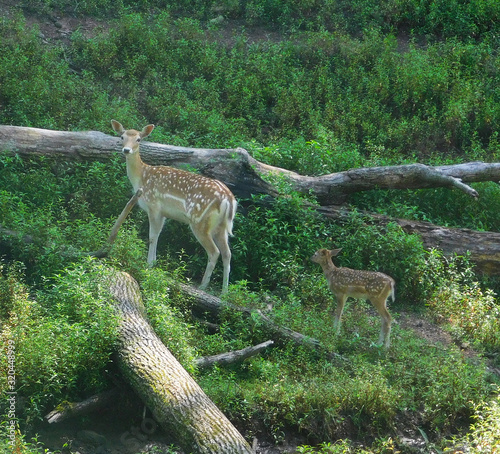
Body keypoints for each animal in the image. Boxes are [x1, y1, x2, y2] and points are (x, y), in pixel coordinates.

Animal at [112, 119, 237, 292]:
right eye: (122, 137)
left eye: (138, 139)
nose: (126, 150)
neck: (141, 178)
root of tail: (229, 200)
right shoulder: (163, 213)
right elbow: (157, 235)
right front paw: (154, 262)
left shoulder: (154, 205)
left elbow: (151, 236)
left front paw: (148, 264)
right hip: (221, 227)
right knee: (227, 253)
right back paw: (225, 291)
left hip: (200, 221)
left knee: (214, 252)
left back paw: (203, 286)